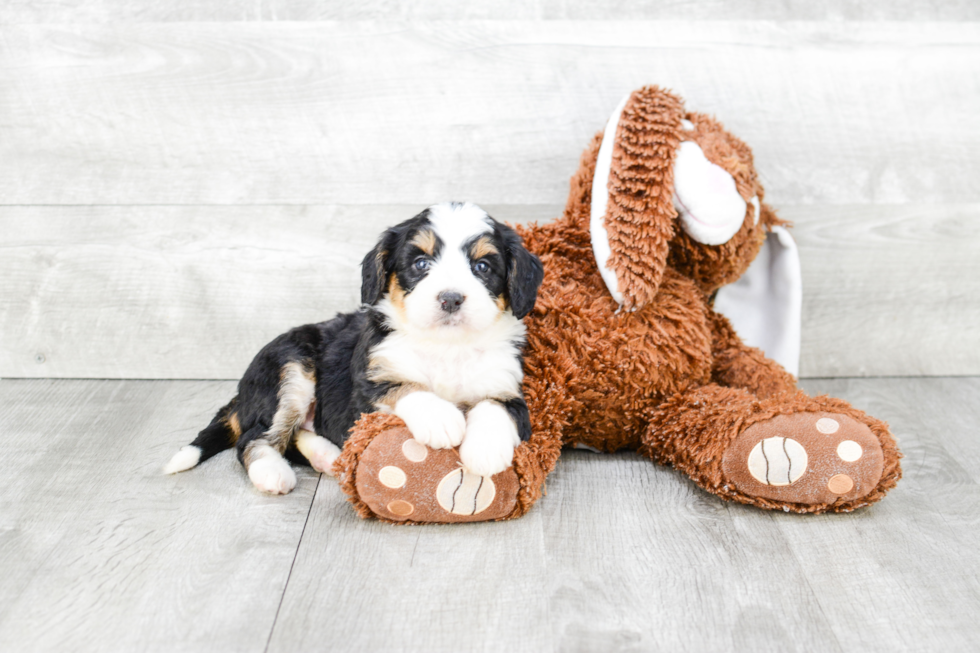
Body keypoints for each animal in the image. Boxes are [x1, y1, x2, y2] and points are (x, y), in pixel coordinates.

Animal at [161, 201, 544, 492]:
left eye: (483, 266)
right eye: (420, 263)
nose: (450, 298)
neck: (447, 346)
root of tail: (241, 396)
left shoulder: (508, 388)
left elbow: (494, 408)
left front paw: (485, 451)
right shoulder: (368, 385)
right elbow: (406, 387)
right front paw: (441, 418)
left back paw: (327, 455)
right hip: (290, 369)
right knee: (255, 437)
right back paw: (273, 472)